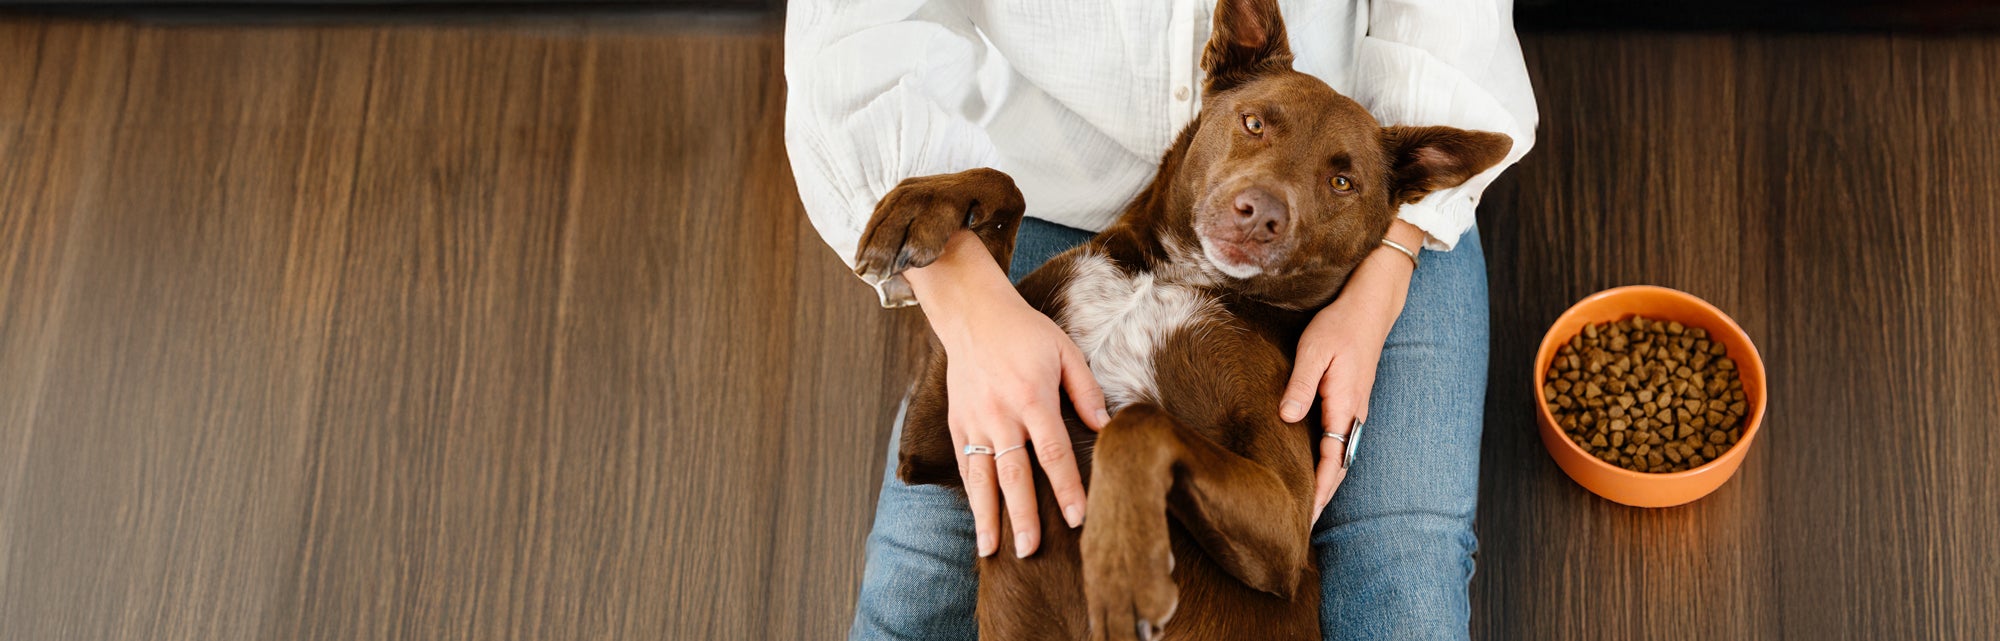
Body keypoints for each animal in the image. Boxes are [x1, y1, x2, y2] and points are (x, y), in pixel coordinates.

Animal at [852, 2, 1504, 636]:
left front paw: (1123, 559)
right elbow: (1007, 184)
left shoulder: (1288, 530)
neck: (1174, 276)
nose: (1260, 213)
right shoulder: (952, 438)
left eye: (1342, 182)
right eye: (1254, 123)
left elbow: (1137, 422)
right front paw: (919, 205)